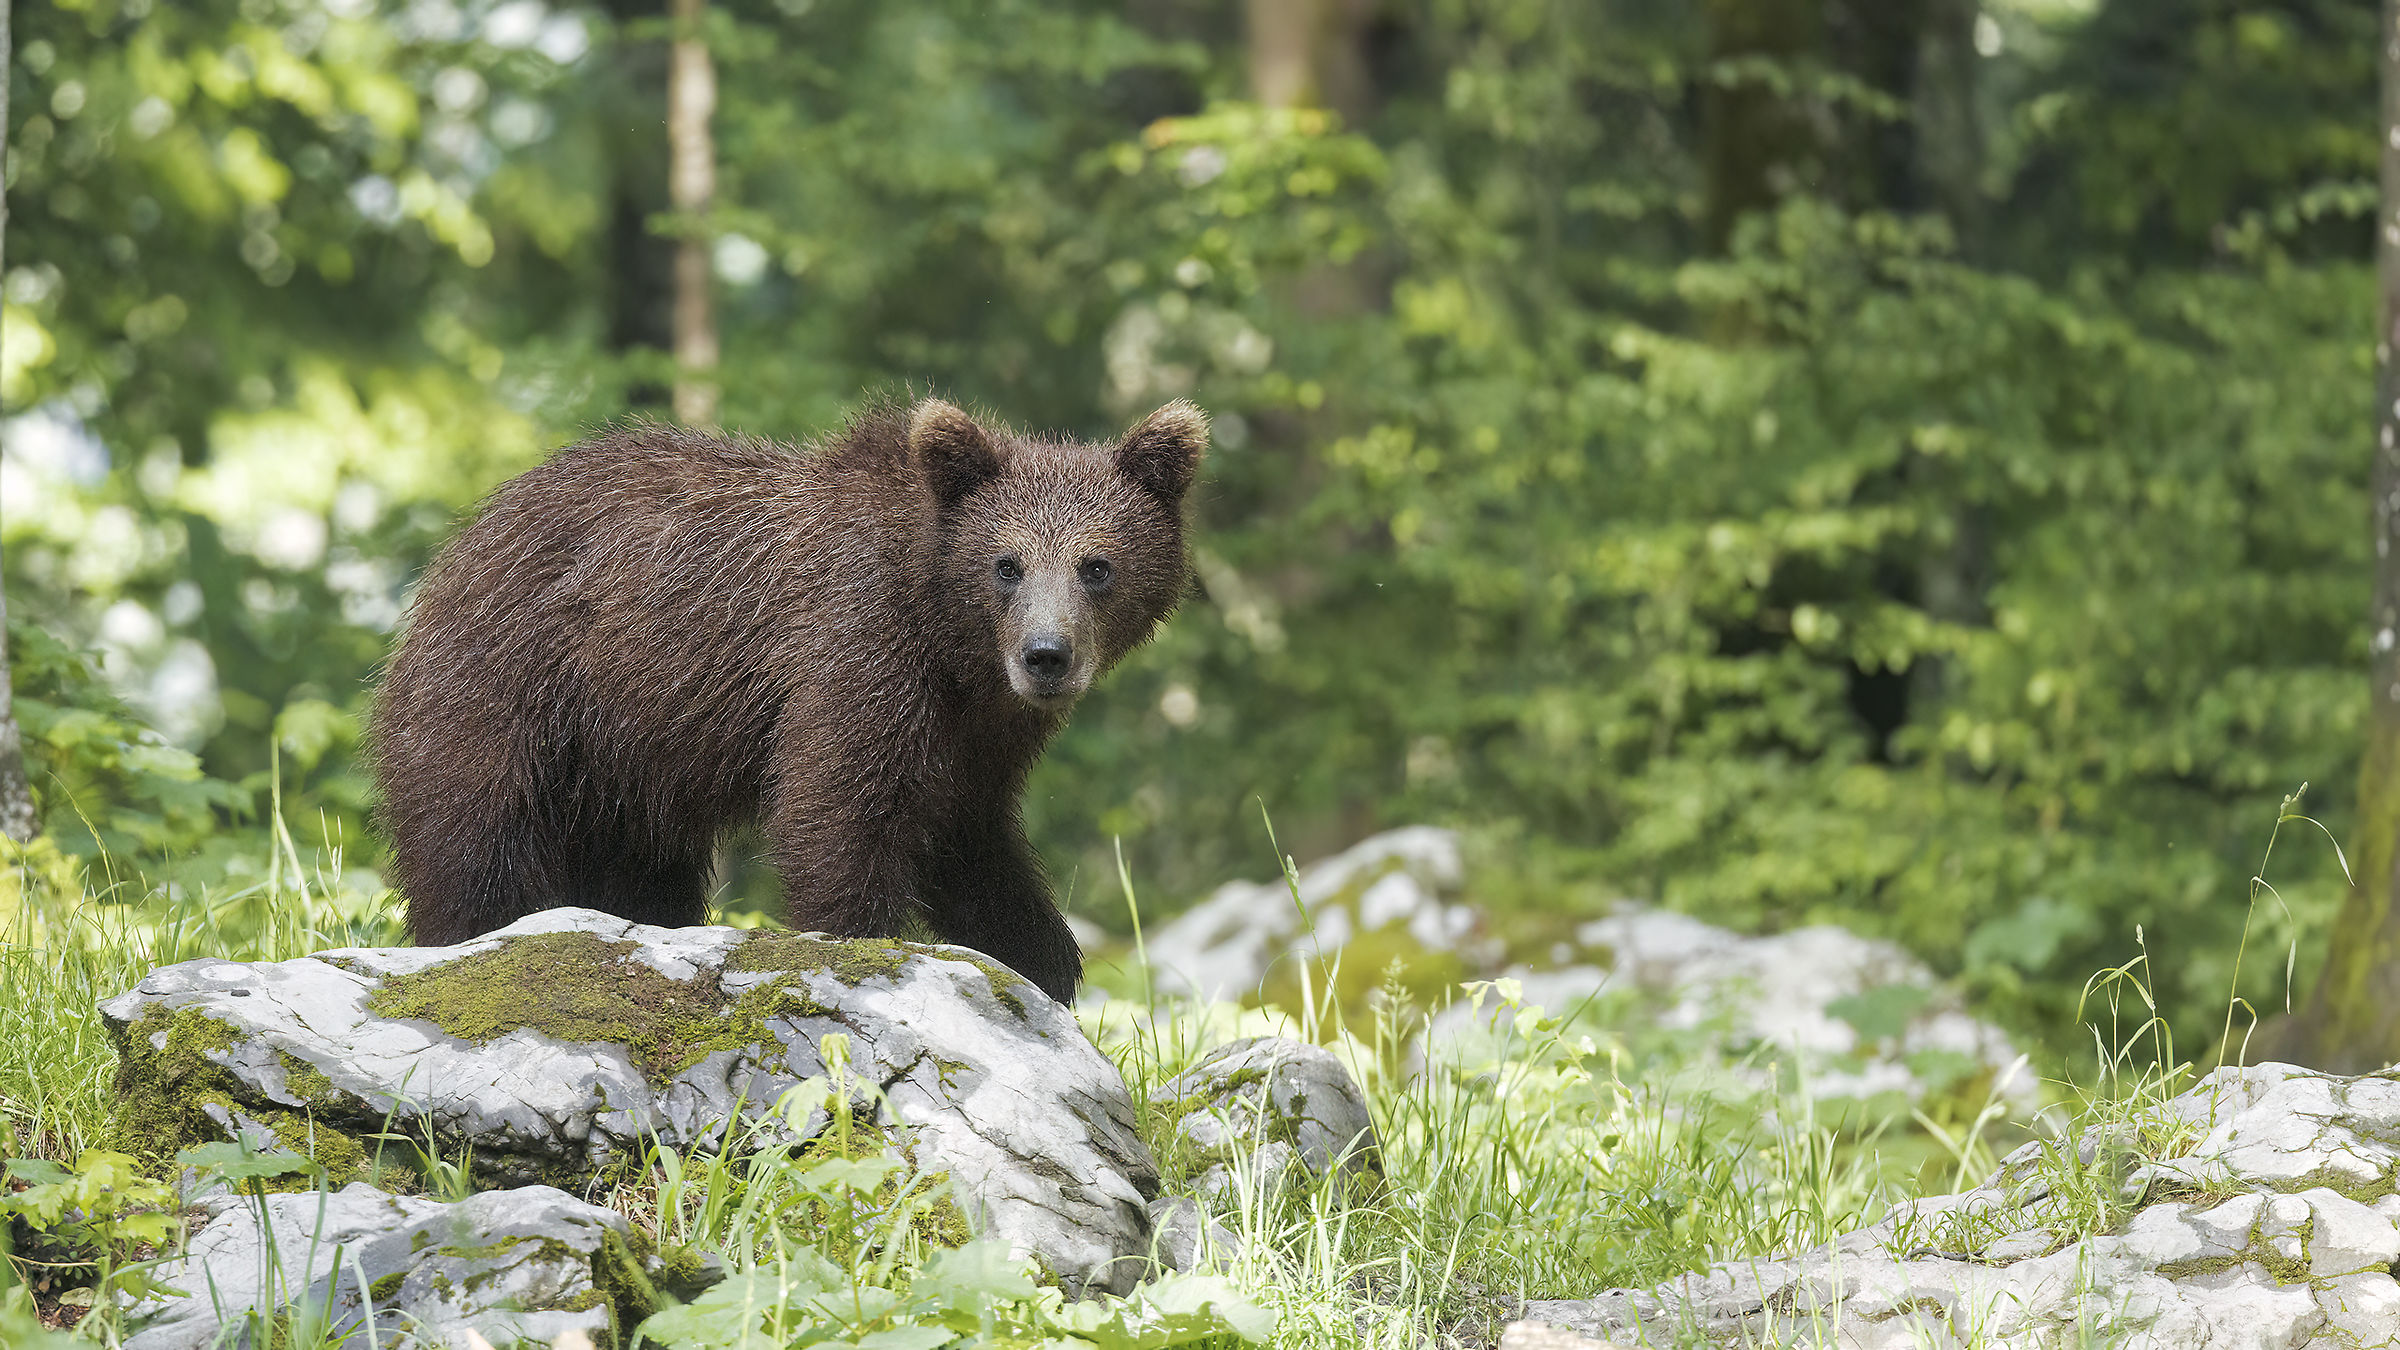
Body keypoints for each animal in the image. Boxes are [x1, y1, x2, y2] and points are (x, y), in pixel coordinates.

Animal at [367, 396, 1208, 1003]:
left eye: (1096, 565)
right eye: (1007, 563)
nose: (1046, 656)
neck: (947, 636)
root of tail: (462, 541)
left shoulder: (977, 736)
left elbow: (969, 838)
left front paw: (1043, 958)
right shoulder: (856, 650)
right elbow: (839, 811)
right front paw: (858, 940)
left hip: (627, 767)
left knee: (641, 870)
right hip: (517, 686)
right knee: (477, 844)